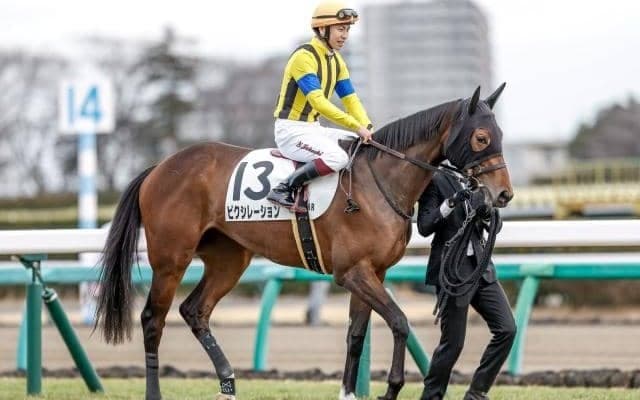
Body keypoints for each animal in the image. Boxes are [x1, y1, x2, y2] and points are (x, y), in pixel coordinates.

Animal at [95, 84, 513, 400]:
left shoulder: (371, 272)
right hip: (171, 258)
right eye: (481, 137)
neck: (378, 181)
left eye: (501, 137)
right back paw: (156, 392)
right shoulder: (352, 273)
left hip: (229, 259)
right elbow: (399, 321)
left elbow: (356, 334)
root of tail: (161, 166)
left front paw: (349, 393)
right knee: (153, 319)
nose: (504, 194)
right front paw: (392, 388)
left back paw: (229, 382)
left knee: (195, 311)